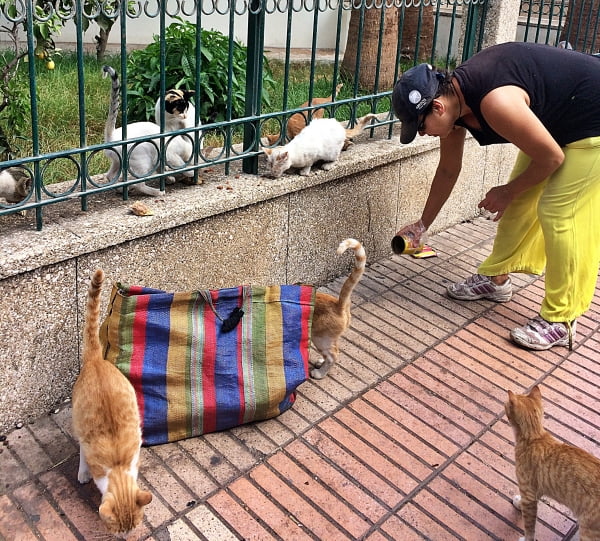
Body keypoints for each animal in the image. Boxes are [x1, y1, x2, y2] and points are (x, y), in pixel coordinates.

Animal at [72, 270, 152, 536]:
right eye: (119, 530)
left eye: (134, 525)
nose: (128, 536)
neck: (117, 466)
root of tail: (96, 359)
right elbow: (85, 460)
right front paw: (84, 473)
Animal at [103, 65, 195, 196]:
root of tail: (112, 136)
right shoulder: (170, 154)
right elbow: (179, 164)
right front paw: (189, 172)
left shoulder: (158, 160)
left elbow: (161, 170)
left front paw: (169, 178)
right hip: (142, 162)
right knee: (139, 184)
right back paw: (157, 192)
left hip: (118, 161)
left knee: (110, 175)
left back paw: (121, 189)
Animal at [310, 238, 366, 378]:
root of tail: (338, 304)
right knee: (333, 350)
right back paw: (321, 362)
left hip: (320, 338)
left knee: (333, 355)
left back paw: (320, 373)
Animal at [506, 386, 600, 536]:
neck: (535, 437)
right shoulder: (536, 489)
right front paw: (519, 504)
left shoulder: (528, 493)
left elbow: (529, 528)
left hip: (588, 530)